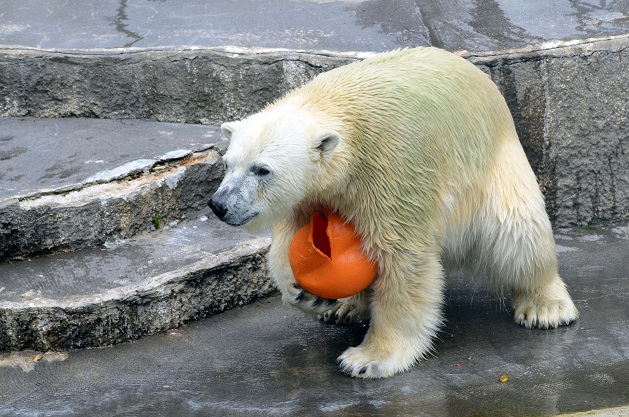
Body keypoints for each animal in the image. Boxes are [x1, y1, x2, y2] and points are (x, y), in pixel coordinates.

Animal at [209, 48, 576, 376]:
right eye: (228, 164)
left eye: (262, 169)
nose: (219, 204)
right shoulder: (312, 194)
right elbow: (291, 238)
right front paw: (306, 294)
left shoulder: (392, 167)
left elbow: (402, 258)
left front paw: (368, 359)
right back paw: (344, 307)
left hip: (493, 167)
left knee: (517, 233)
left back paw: (546, 306)